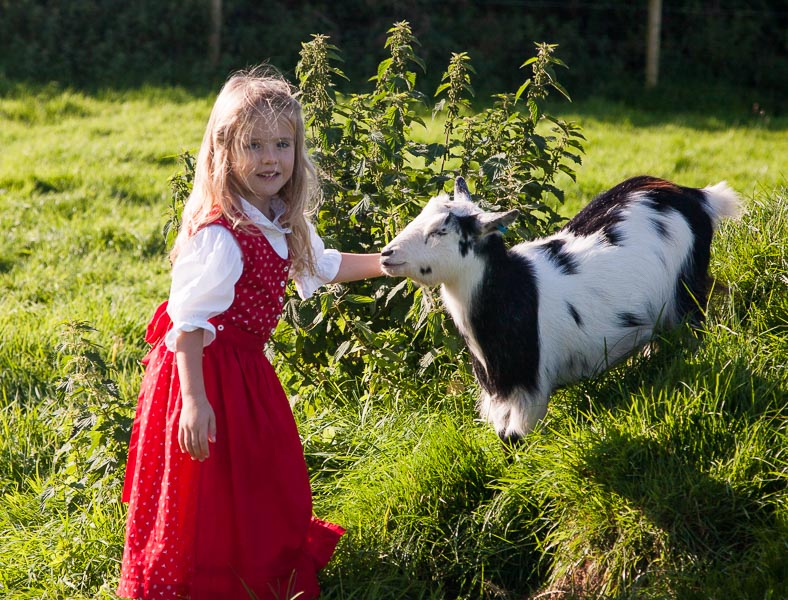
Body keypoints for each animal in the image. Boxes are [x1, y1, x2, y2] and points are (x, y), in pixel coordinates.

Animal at [378, 176, 740, 442]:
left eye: (441, 230)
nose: (386, 254)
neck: (515, 290)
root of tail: (696, 196)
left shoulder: (529, 393)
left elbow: (515, 442)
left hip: (687, 298)